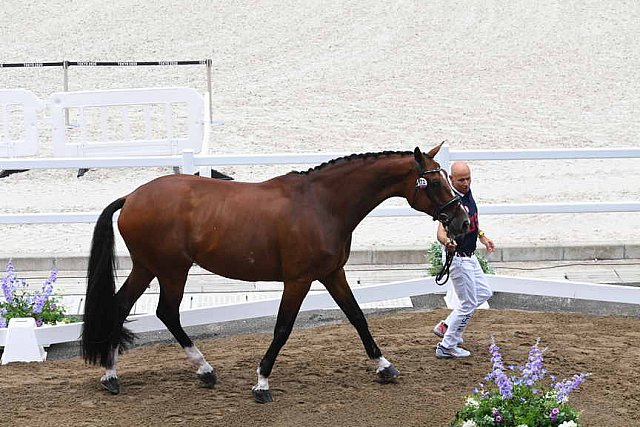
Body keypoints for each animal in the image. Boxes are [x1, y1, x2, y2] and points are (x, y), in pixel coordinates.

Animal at [82, 144, 468, 402]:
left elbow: (357, 317)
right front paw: (261, 383)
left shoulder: (332, 273)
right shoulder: (298, 280)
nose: (462, 221)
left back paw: (113, 375)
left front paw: (385, 366)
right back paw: (202, 369)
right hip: (171, 271)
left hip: (147, 267)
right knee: (166, 312)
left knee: (121, 307)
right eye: (434, 183)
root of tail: (132, 196)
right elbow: (282, 329)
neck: (322, 204)